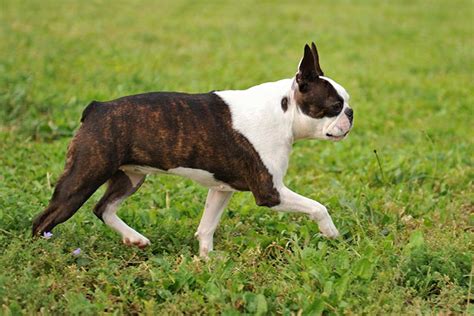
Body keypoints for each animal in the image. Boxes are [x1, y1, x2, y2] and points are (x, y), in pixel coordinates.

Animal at [32, 42, 352, 256]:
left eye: (345, 104)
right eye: (334, 106)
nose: (351, 113)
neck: (283, 112)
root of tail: (96, 108)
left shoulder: (221, 189)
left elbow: (207, 225)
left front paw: (207, 259)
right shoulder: (270, 192)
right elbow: (318, 206)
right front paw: (332, 233)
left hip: (130, 176)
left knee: (104, 208)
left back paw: (135, 239)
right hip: (83, 176)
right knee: (44, 219)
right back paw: (41, 252)